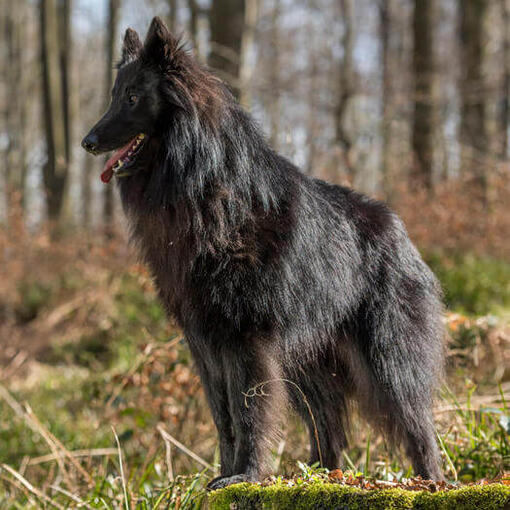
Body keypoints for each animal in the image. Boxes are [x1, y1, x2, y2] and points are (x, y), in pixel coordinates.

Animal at [81, 16, 444, 486]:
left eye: (132, 98)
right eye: (114, 96)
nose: (87, 141)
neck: (205, 192)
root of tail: (403, 234)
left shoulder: (247, 341)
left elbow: (250, 411)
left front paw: (247, 475)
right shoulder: (206, 343)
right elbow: (224, 418)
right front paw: (223, 475)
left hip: (386, 362)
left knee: (417, 426)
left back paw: (430, 482)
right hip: (308, 365)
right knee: (329, 431)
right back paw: (319, 476)